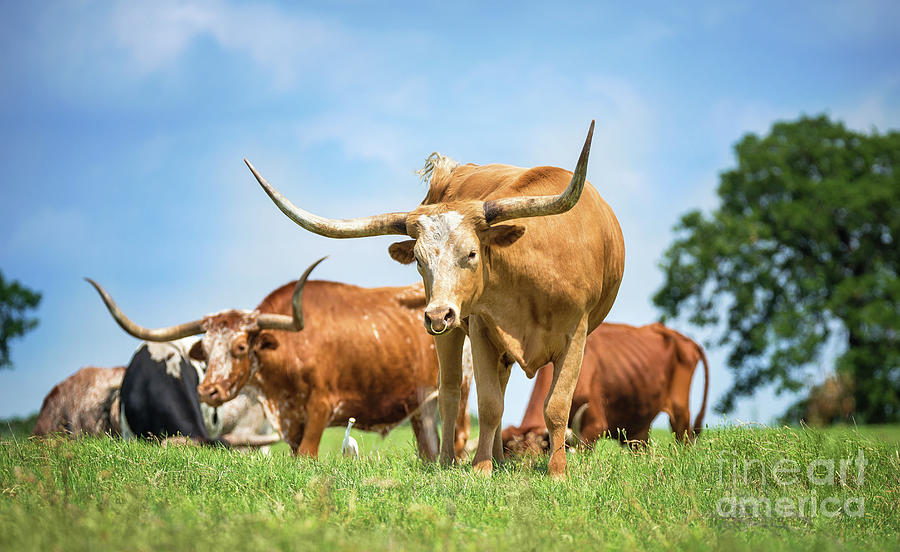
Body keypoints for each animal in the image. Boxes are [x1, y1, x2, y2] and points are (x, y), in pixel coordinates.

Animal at [88, 260, 474, 460]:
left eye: (240, 347)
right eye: (206, 349)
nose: (208, 391)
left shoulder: (321, 406)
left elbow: (306, 455)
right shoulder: (289, 419)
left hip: (461, 389)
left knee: (458, 436)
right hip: (420, 404)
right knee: (427, 444)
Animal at [246, 123, 624, 476]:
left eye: (471, 253)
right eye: (418, 258)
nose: (437, 315)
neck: (533, 274)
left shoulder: (576, 334)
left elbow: (557, 405)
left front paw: (557, 472)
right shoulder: (482, 328)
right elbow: (489, 404)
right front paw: (481, 468)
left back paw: (500, 460)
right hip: (455, 333)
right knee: (452, 392)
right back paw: (451, 461)